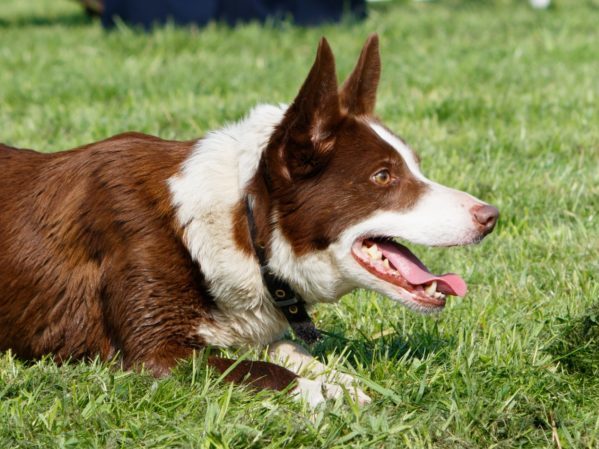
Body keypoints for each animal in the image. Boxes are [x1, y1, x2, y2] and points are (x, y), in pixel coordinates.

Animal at [0, 35, 496, 406]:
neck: (242, 219)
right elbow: (266, 372)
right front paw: (329, 394)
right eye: (383, 176)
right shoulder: (156, 355)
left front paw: (343, 381)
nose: (491, 216)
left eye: (416, 167)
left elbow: (289, 351)